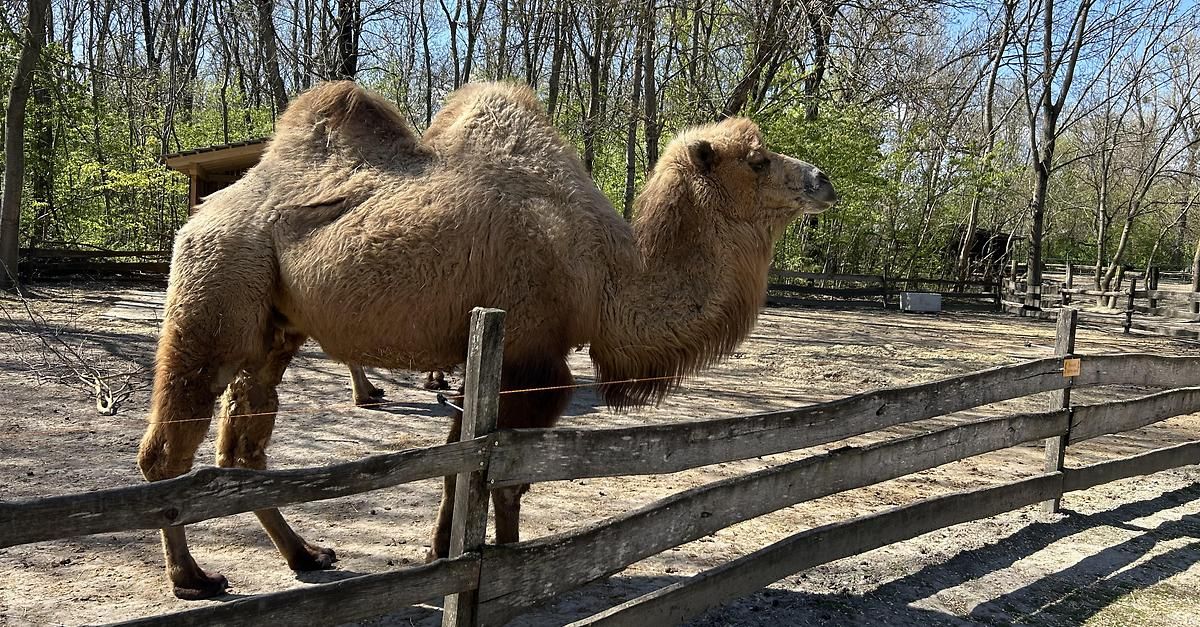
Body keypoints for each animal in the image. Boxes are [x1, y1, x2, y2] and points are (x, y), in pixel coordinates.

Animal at [137, 80, 836, 599]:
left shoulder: (501, 364)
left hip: (277, 326)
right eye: (758, 160)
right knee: (170, 446)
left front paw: (446, 551)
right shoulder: (533, 362)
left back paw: (305, 555)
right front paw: (506, 563)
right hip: (216, 284)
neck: (606, 277)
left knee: (243, 449)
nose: (823, 179)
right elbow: (502, 478)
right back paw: (192, 578)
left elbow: (468, 467)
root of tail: (202, 212)